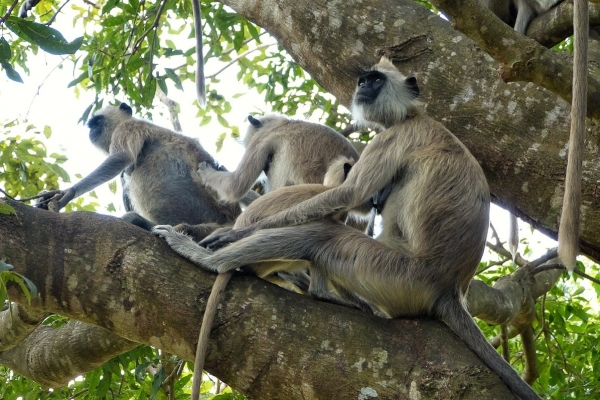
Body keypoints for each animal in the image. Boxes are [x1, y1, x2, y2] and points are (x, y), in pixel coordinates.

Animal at [35, 101, 239, 230]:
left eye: (97, 122)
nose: (91, 131)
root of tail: (231, 217)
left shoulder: (126, 129)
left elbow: (121, 158)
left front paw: (66, 193)